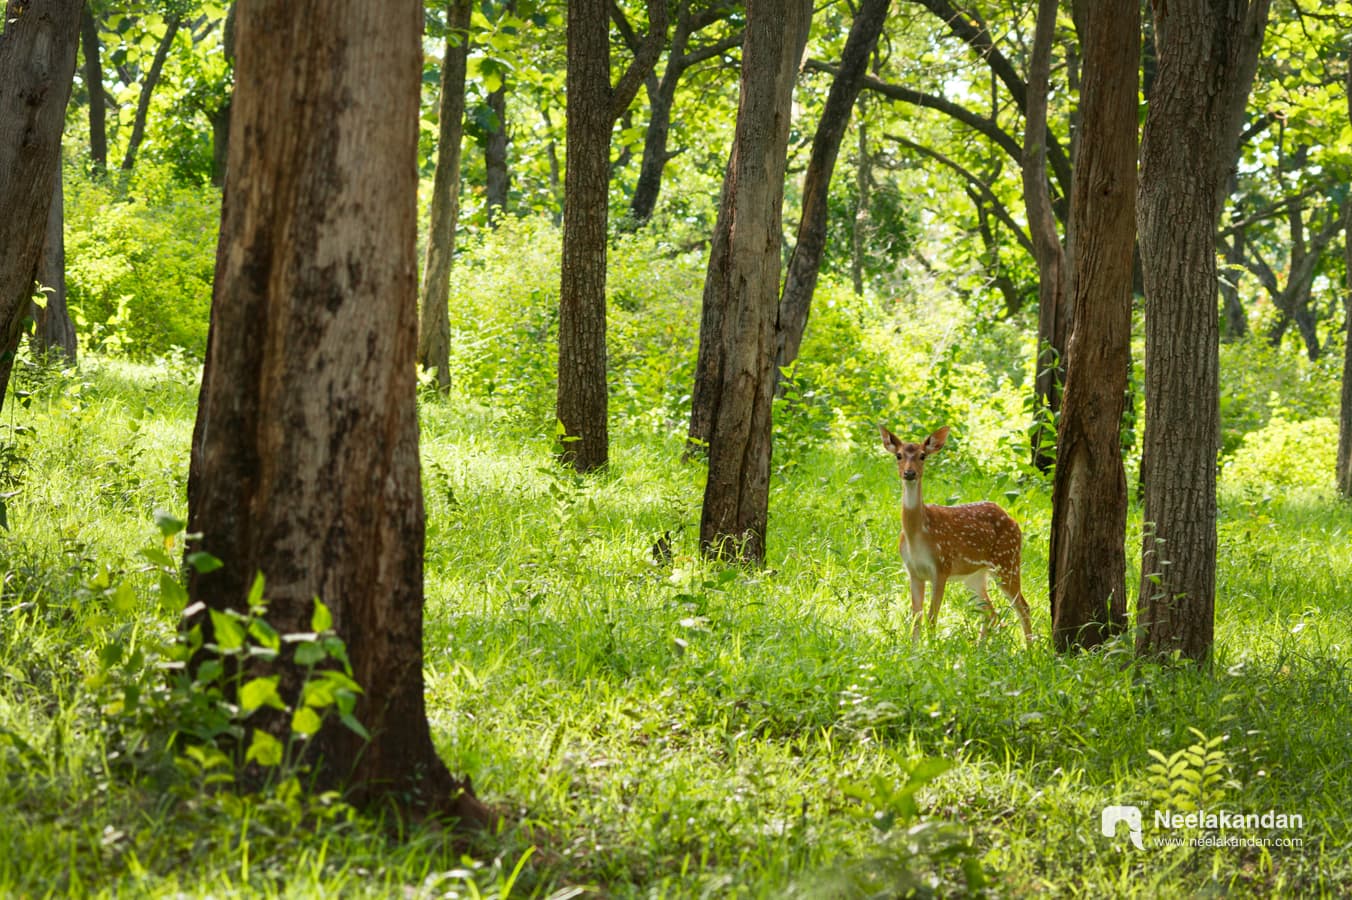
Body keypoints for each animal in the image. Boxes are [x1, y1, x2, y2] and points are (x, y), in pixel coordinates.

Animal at [880, 425, 1033, 644]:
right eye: (898, 455)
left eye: (922, 455)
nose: (909, 473)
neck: (917, 534)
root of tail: (1013, 520)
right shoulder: (913, 571)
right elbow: (916, 617)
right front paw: (914, 648)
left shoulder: (942, 566)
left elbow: (932, 617)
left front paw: (931, 647)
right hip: (975, 574)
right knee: (991, 611)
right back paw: (981, 647)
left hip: (1008, 561)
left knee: (1022, 607)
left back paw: (1030, 649)